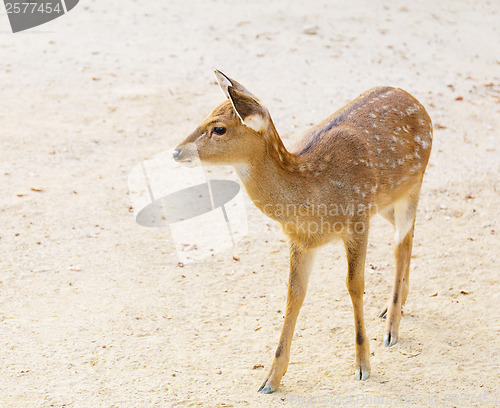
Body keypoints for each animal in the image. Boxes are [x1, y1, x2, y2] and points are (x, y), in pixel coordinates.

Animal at [172, 70, 430, 392]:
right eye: (206, 114)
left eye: (218, 128)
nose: (176, 151)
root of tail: (415, 100)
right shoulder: (299, 240)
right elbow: (294, 294)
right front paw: (270, 378)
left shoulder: (358, 219)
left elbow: (354, 285)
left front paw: (362, 366)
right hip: (386, 200)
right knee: (406, 234)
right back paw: (393, 307)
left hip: (413, 182)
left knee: (401, 241)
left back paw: (391, 328)